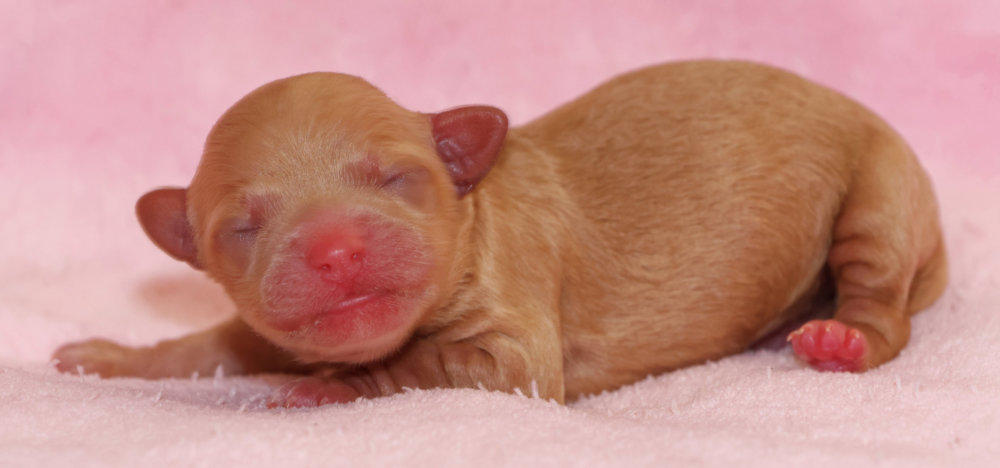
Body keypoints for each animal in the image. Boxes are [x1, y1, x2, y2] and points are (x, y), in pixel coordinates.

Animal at [53, 60, 947, 407]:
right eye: (243, 226)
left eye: (396, 179)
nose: (336, 251)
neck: (475, 212)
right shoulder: (265, 325)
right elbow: (207, 344)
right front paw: (110, 357)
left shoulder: (512, 347)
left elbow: (419, 365)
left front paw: (328, 389)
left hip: (880, 190)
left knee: (886, 304)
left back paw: (841, 338)